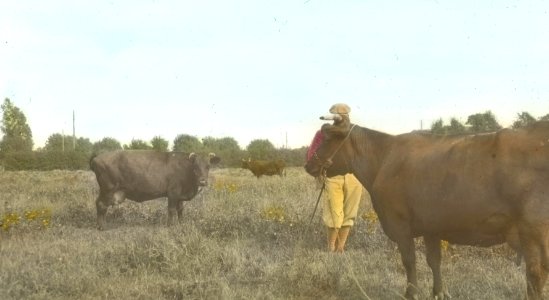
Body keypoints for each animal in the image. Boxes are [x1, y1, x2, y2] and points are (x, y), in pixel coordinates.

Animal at [89, 150, 219, 230]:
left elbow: (180, 210)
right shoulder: (173, 193)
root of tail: (97, 157)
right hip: (108, 189)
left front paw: (181, 223)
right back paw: (102, 227)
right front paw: (170, 225)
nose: (203, 181)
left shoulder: (180, 195)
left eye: (208, 166)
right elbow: (171, 210)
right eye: (195, 166)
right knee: (101, 205)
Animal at [304, 120, 548, 298]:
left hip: (533, 230)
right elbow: (434, 261)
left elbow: (409, 260)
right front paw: (439, 293)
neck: (383, 159)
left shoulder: (399, 223)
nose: (308, 164)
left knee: (535, 274)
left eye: (326, 138)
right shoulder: (432, 226)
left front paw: (411, 293)